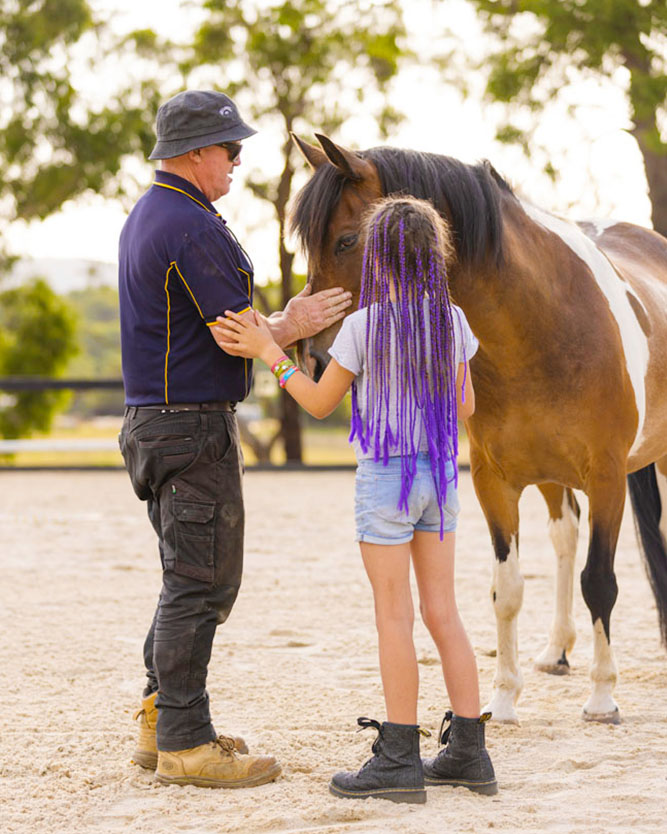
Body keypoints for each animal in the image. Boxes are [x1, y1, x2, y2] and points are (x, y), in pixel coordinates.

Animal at [288, 132, 667, 724]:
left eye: (347, 240)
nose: (313, 361)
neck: (543, 322)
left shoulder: (608, 479)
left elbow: (600, 582)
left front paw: (603, 697)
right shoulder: (495, 481)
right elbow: (506, 590)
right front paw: (503, 699)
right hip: (550, 476)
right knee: (564, 536)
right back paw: (556, 650)